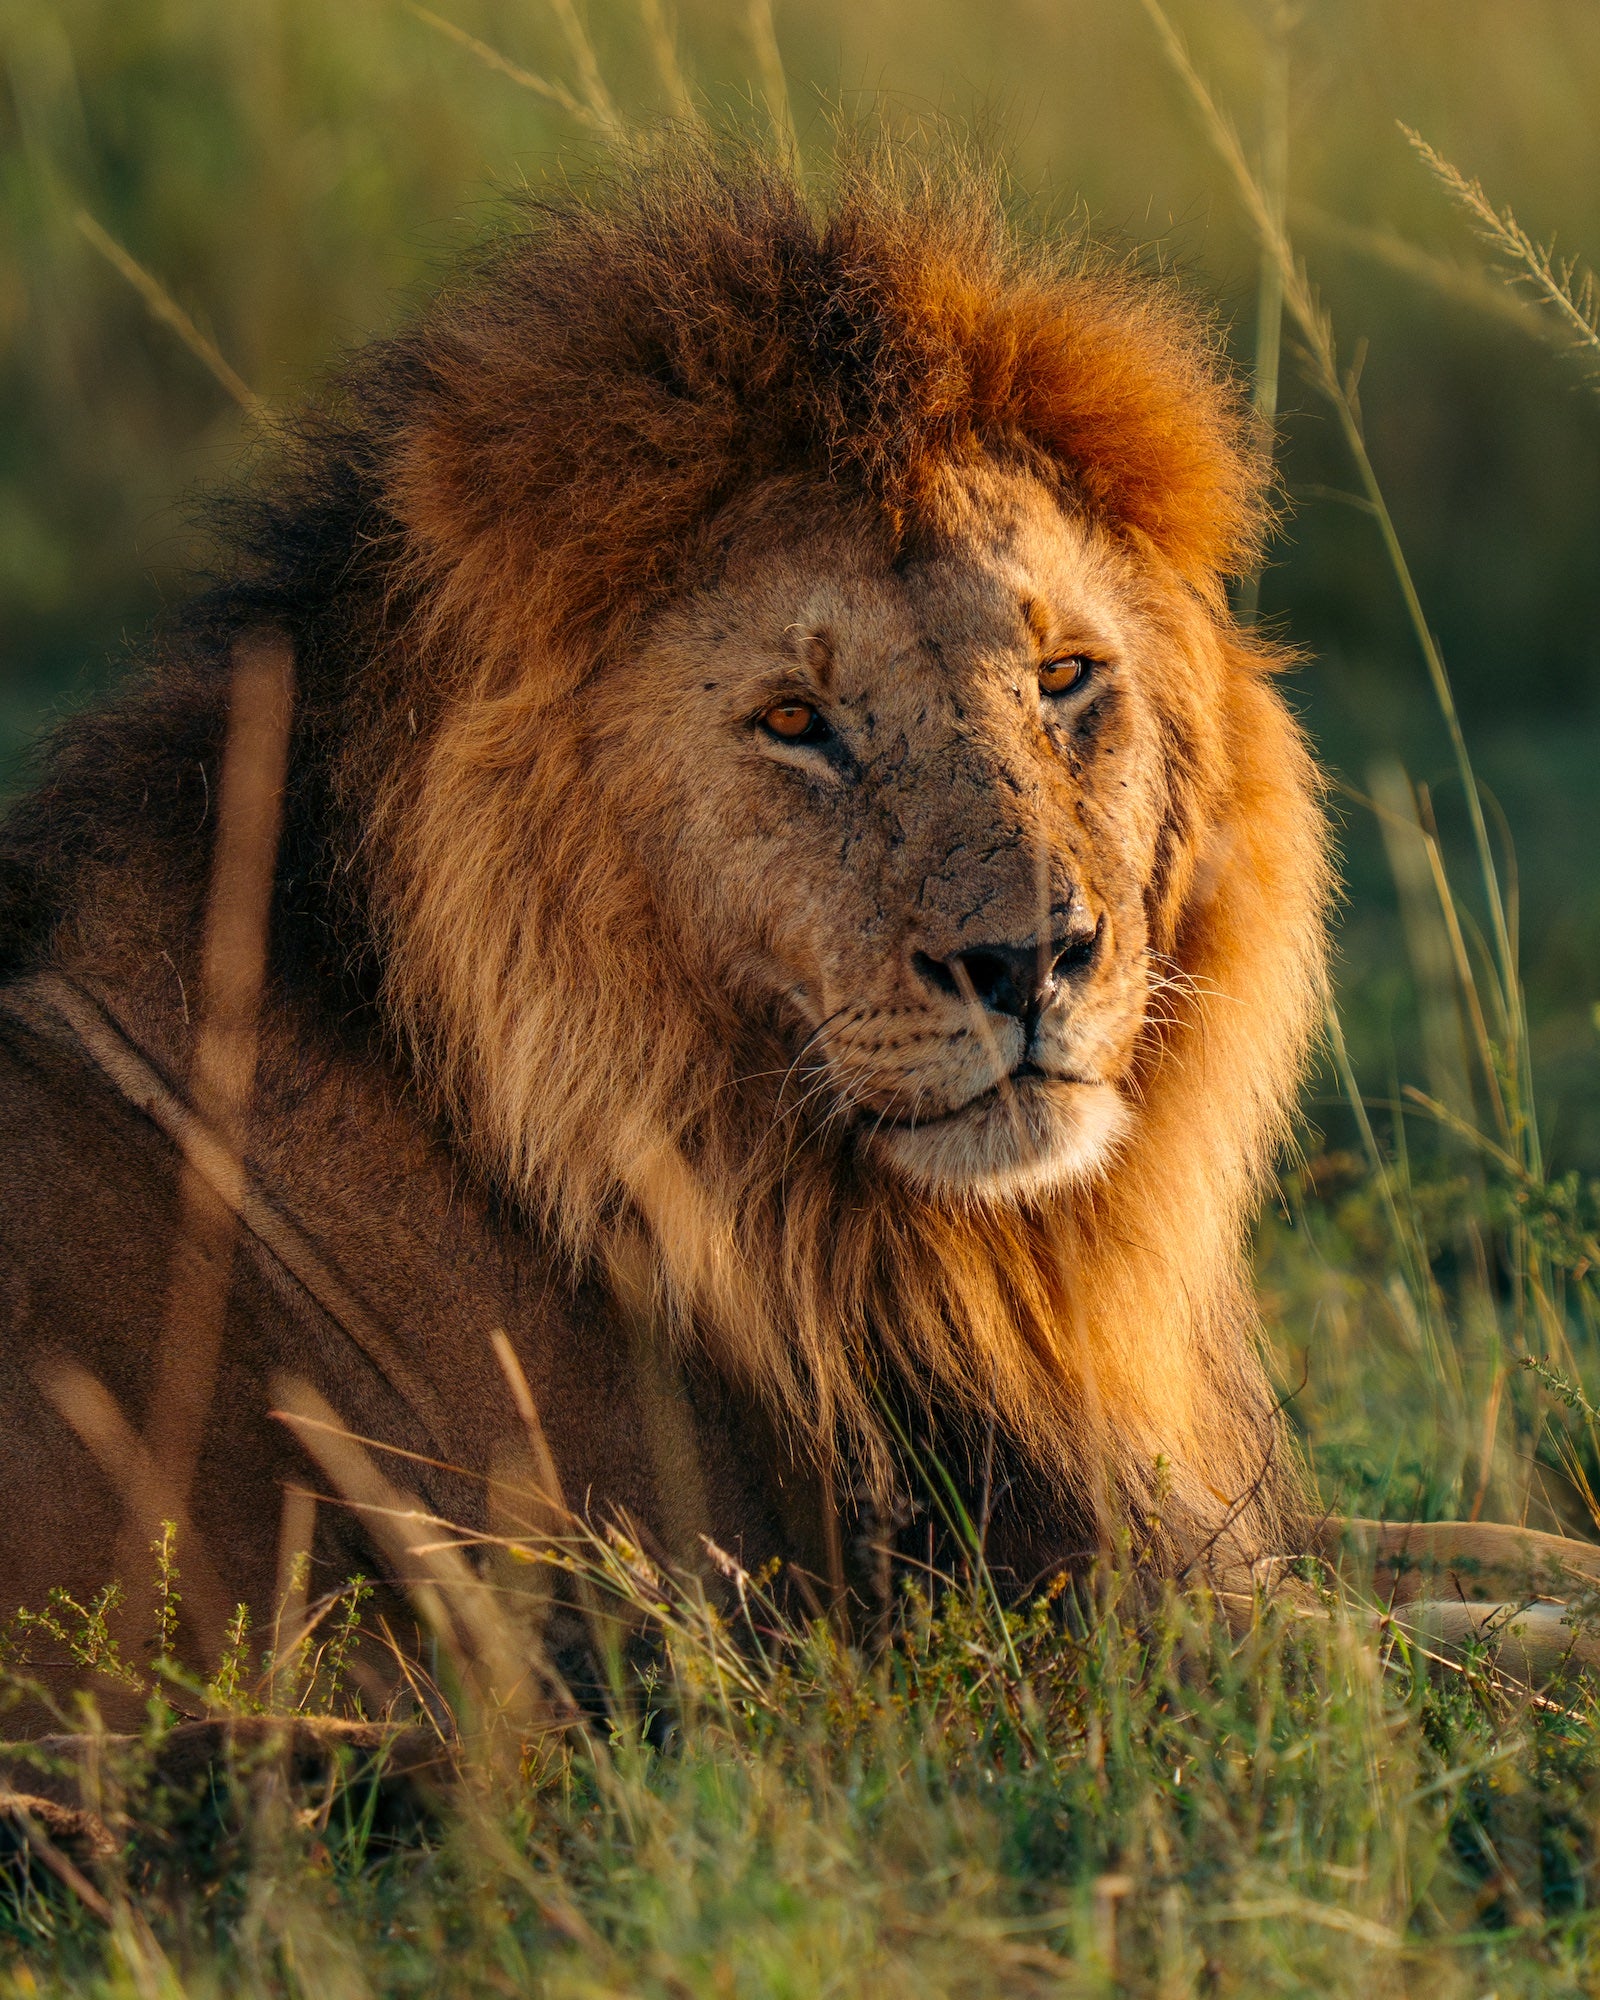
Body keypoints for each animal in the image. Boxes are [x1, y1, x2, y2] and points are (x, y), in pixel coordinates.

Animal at [0, 141, 1589, 1708]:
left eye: (1064, 676)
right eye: (794, 722)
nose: (1029, 962)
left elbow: (1487, 1545)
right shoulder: (927, 1622)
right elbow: (1425, 1644)